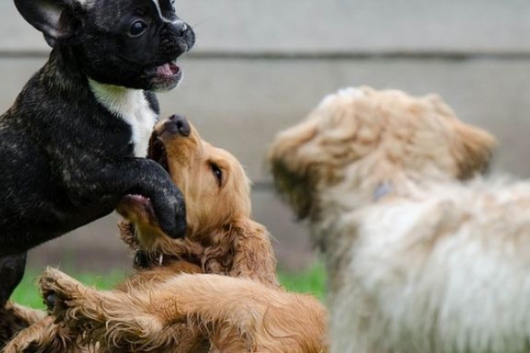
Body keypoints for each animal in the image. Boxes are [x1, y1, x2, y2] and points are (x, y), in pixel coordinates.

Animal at [8, 117, 326, 352]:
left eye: (217, 172)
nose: (178, 121)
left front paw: (28, 334)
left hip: (208, 289)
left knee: (141, 317)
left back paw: (61, 293)